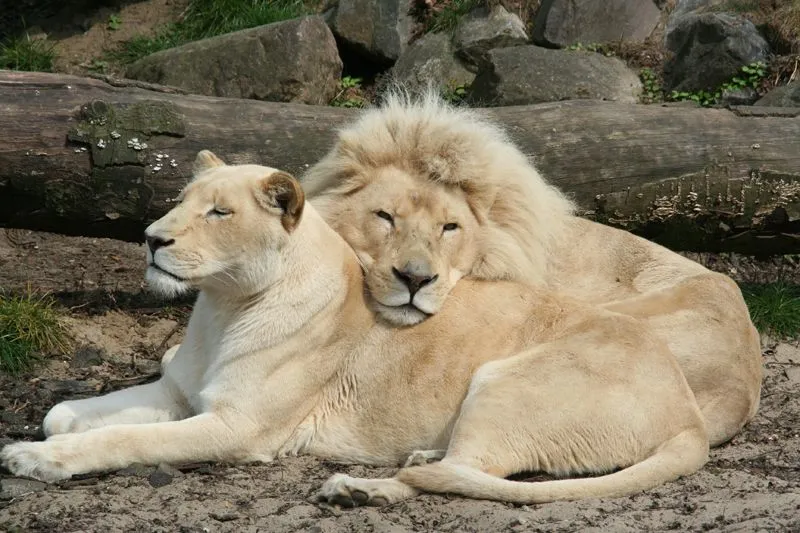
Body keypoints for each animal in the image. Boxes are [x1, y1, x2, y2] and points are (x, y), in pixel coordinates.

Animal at [3, 152, 708, 504]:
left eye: (220, 212)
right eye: (180, 201)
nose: (152, 239)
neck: (223, 308)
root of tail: (691, 415)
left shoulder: (238, 428)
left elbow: (124, 440)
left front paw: (34, 460)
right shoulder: (180, 393)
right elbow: (76, 412)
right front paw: (54, 426)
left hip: (502, 378)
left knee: (462, 475)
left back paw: (357, 489)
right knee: (465, 466)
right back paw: (412, 459)